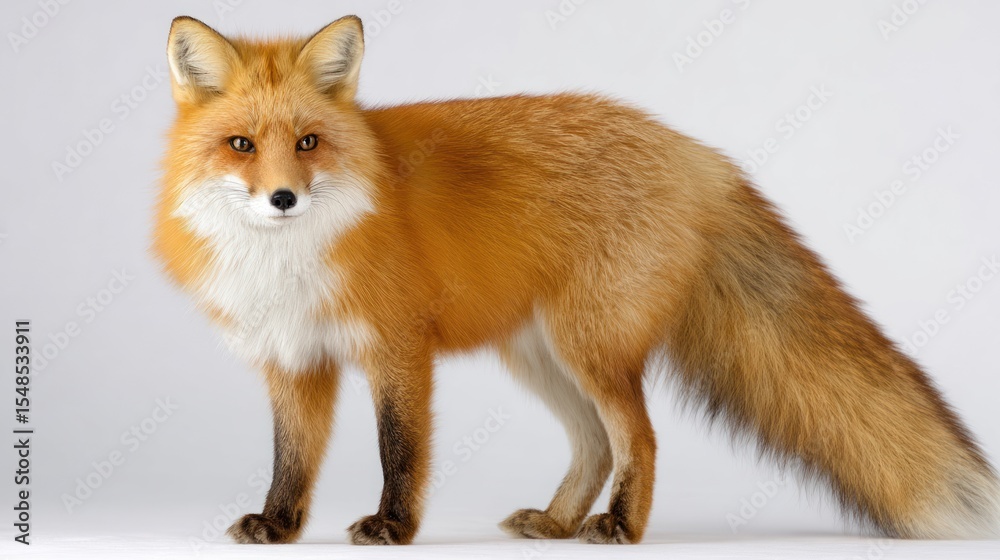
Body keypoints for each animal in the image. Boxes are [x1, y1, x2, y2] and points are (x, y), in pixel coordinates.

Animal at [153, 15, 1000, 545]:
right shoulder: (294, 358)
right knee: (594, 444)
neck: (289, 256)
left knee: (639, 438)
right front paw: (280, 526)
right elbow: (291, 460)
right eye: (240, 145)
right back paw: (559, 523)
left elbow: (401, 452)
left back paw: (621, 527)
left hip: (589, 348)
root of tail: (692, 151)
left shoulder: (398, 349)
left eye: (308, 142)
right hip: (541, 357)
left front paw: (394, 527)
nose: (282, 198)